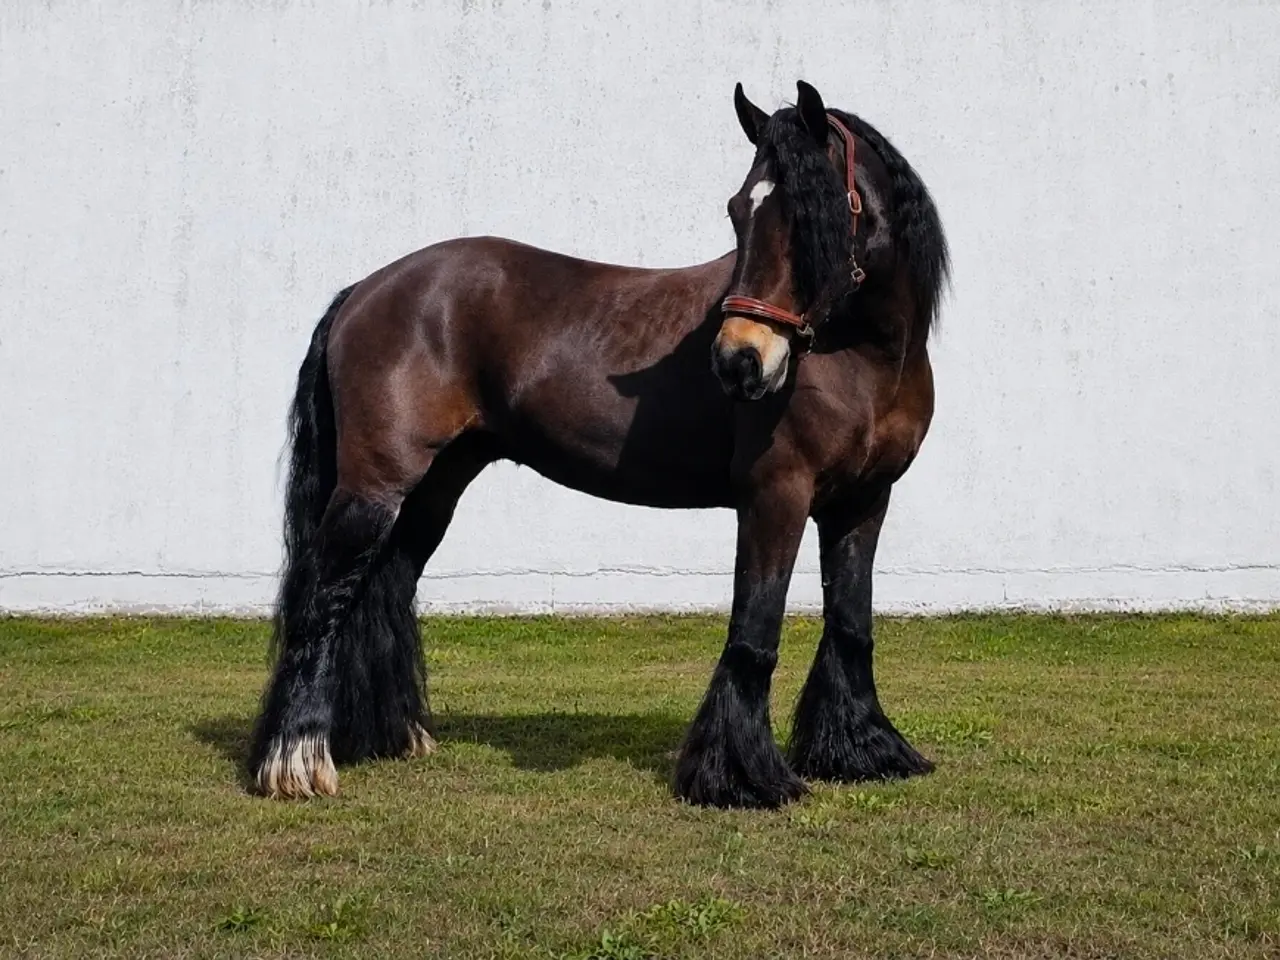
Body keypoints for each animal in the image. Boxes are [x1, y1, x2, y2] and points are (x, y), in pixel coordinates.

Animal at [250, 80, 949, 809]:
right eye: (739, 209)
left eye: (816, 212)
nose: (738, 363)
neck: (864, 358)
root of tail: (366, 289)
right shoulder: (774, 496)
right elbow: (754, 632)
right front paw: (740, 777)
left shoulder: (863, 502)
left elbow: (852, 624)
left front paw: (862, 752)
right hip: (375, 486)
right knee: (323, 598)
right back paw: (295, 762)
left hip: (434, 488)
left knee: (381, 587)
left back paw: (386, 738)